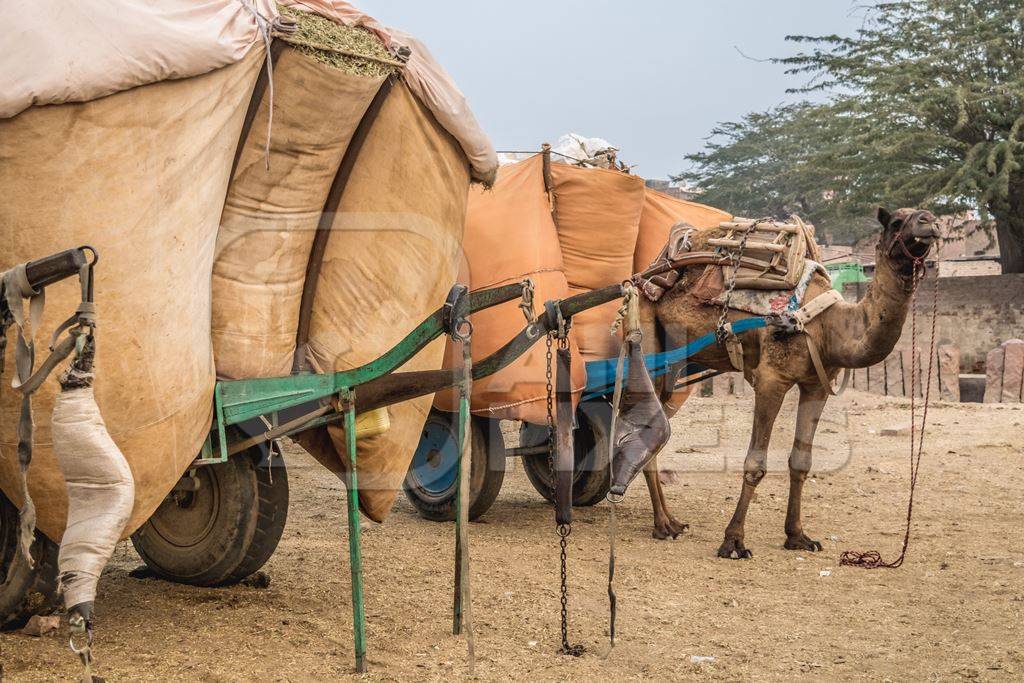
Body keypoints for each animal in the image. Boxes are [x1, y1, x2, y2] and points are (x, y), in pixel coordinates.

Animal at [634, 206, 937, 557]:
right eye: (897, 222)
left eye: (927, 215)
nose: (930, 223)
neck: (828, 325)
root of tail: (648, 274)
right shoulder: (772, 378)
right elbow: (755, 464)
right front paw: (733, 542)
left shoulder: (816, 385)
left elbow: (801, 461)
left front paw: (798, 536)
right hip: (649, 335)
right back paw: (662, 525)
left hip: (676, 359)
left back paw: (672, 521)